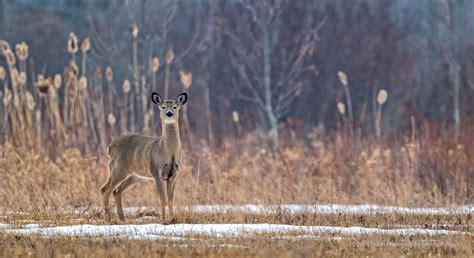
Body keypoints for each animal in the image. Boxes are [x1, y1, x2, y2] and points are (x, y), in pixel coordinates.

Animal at [100, 91, 187, 222]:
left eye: (175, 106)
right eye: (163, 107)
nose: (169, 113)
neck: (167, 151)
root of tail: (110, 147)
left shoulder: (174, 174)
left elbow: (171, 199)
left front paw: (172, 219)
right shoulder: (156, 171)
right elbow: (162, 197)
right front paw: (163, 219)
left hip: (135, 175)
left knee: (116, 191)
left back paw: (122, 219)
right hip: (118, 168)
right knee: (105, 189)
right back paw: (108, 219)